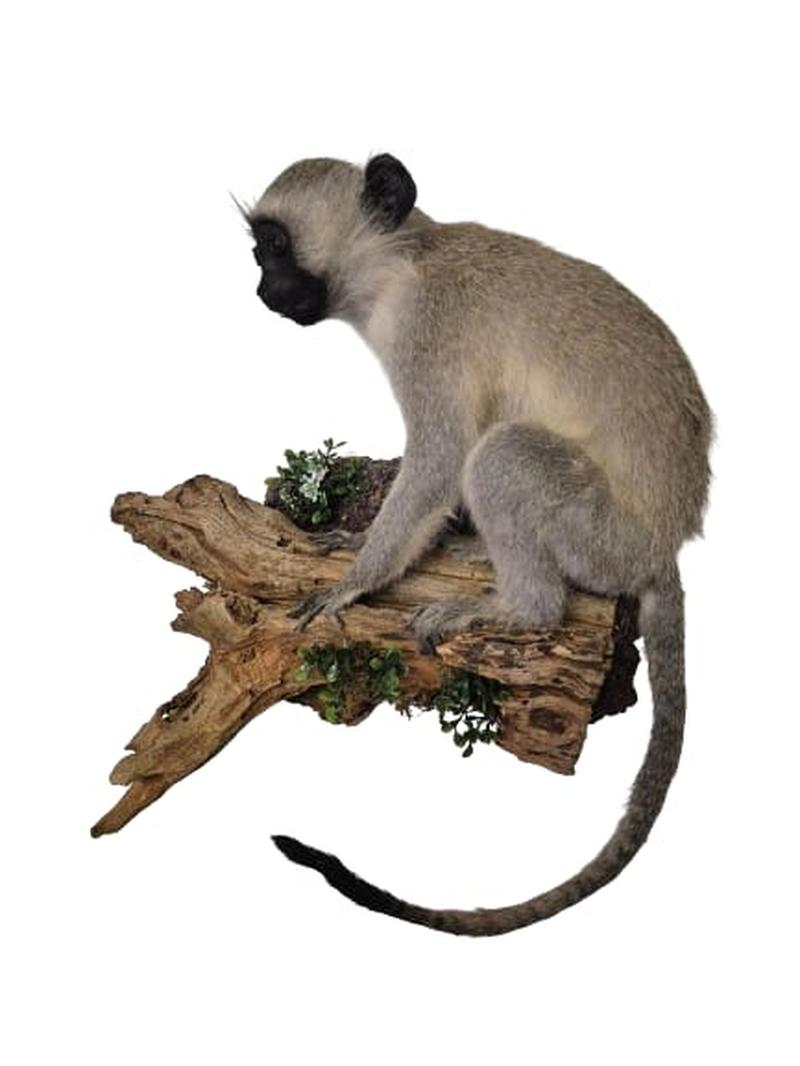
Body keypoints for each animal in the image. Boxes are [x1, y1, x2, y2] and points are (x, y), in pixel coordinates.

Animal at [245, 153, 712, 936]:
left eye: (276, 247)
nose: (258, 287)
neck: (403, 263)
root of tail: (663, 546)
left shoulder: (428, 336)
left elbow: (441, 457)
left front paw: (357, 579)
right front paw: (351, 539)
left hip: (600, 534)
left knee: (501, 457)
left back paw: (519, 608)